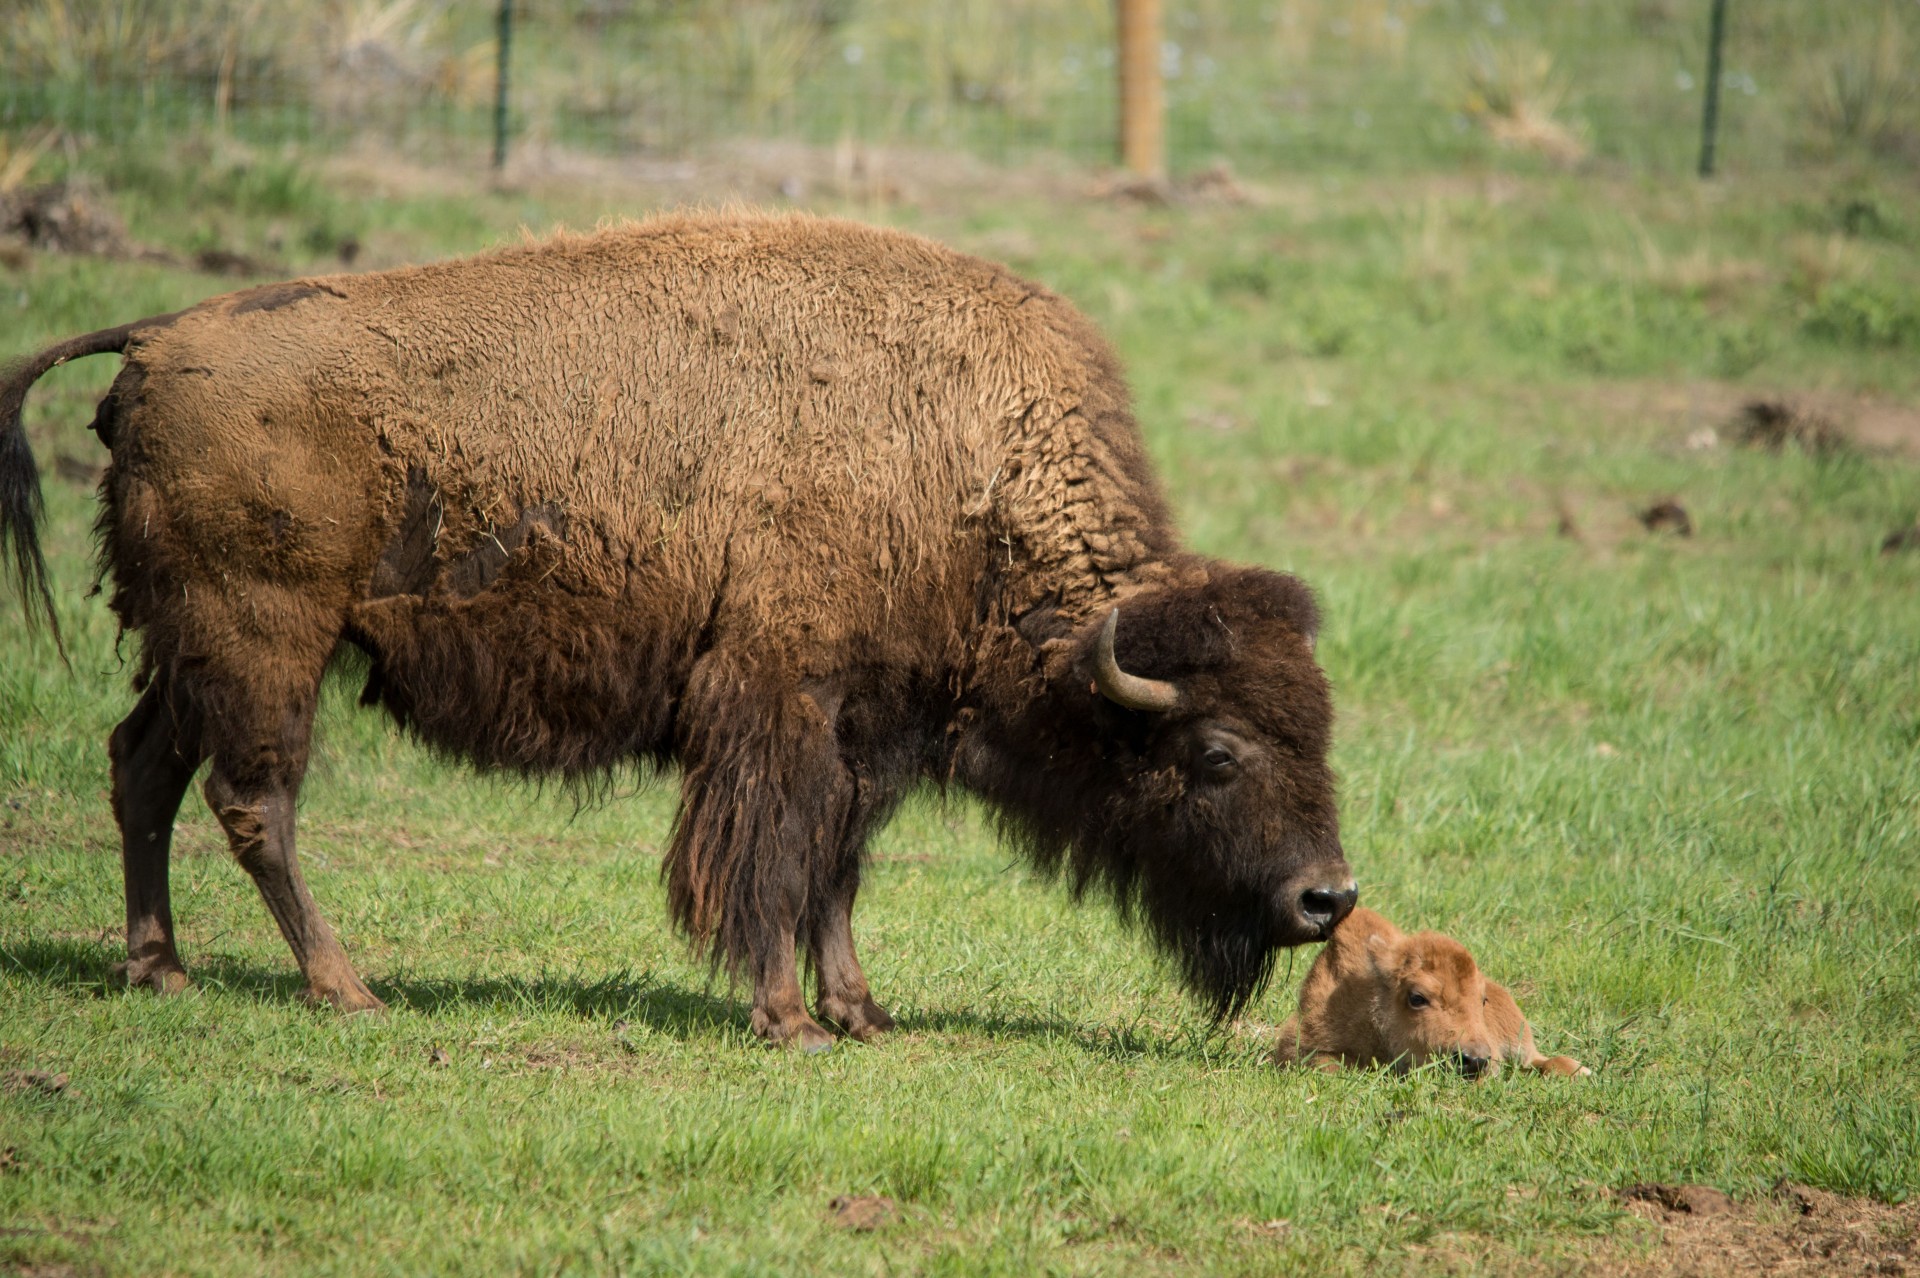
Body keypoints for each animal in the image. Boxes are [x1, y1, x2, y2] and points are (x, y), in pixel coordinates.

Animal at [0, 212, 1356, 1050]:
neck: (967, 465)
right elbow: (771, 860)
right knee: (253, 804)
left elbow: (834, 871)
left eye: (1323, 734)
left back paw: (160, 968)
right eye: (1218, 755)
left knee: (142, 767)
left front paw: (862, 1014)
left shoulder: (868, 730)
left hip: (189, 649)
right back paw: (348, 991)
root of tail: (157, 338)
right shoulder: (779, 704)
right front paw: (790, 1021)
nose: (1328, 899)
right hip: (267, 644)